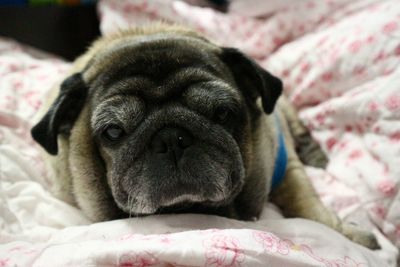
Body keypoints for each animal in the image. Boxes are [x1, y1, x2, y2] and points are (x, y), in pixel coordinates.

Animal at [30, 24, 378, 250]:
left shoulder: (286, 163)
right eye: (113, 132)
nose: (171, 139)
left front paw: (344, 234)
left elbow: (306, 204)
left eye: (222, 113)